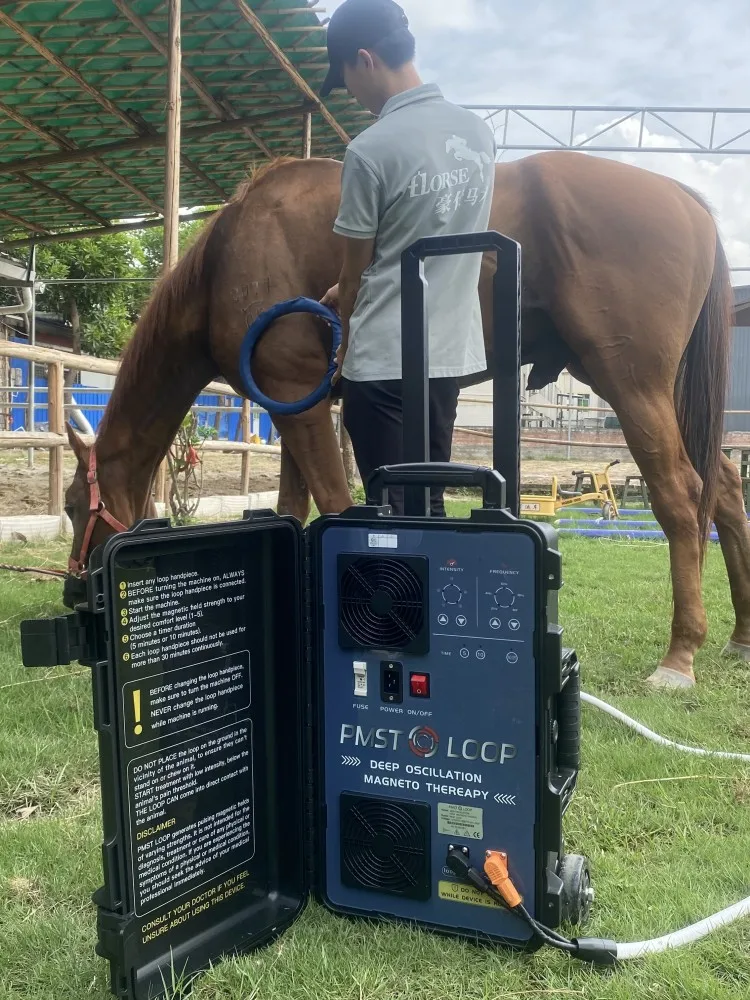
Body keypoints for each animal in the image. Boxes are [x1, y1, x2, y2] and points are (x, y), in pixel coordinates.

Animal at [61, 154, 748, 688]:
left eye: (73, 506)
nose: (73, 592)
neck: (232, 252)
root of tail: (685, 200)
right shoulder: (295, 402)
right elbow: (292, 502)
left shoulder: (295, 395)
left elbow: (334, 501)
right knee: (725, 489)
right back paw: (739, 635)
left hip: (632, 385)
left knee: (681, 495)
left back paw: (679, 657)